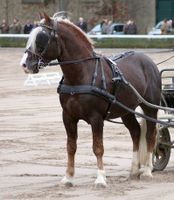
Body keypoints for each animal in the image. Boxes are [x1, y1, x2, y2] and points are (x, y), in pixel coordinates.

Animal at [20, 13, 162, 187]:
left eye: (41, 38)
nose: (24, 64)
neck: (81, 75)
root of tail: (147, 59)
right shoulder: (68, 117)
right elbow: (71, 146)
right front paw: (68, 177)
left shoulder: (96, 118)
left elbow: (98, 147)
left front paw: (100, 178)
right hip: (126, 110)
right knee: (135, 132)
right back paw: (134, 170)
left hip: (150, 108)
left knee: (150, 135)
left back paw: (147, 170)